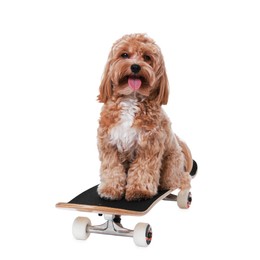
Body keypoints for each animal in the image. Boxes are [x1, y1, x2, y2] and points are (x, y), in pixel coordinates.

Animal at [96, 33, 192, 202]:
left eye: (147, 57)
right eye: (124, 55)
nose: (135, 66)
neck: (131, 98)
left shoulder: (149, 145)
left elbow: (143, 169)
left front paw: (139, 190)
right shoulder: (109, 143)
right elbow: (112, 169)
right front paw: (110, 189)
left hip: (172, 163)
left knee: (181, 179)